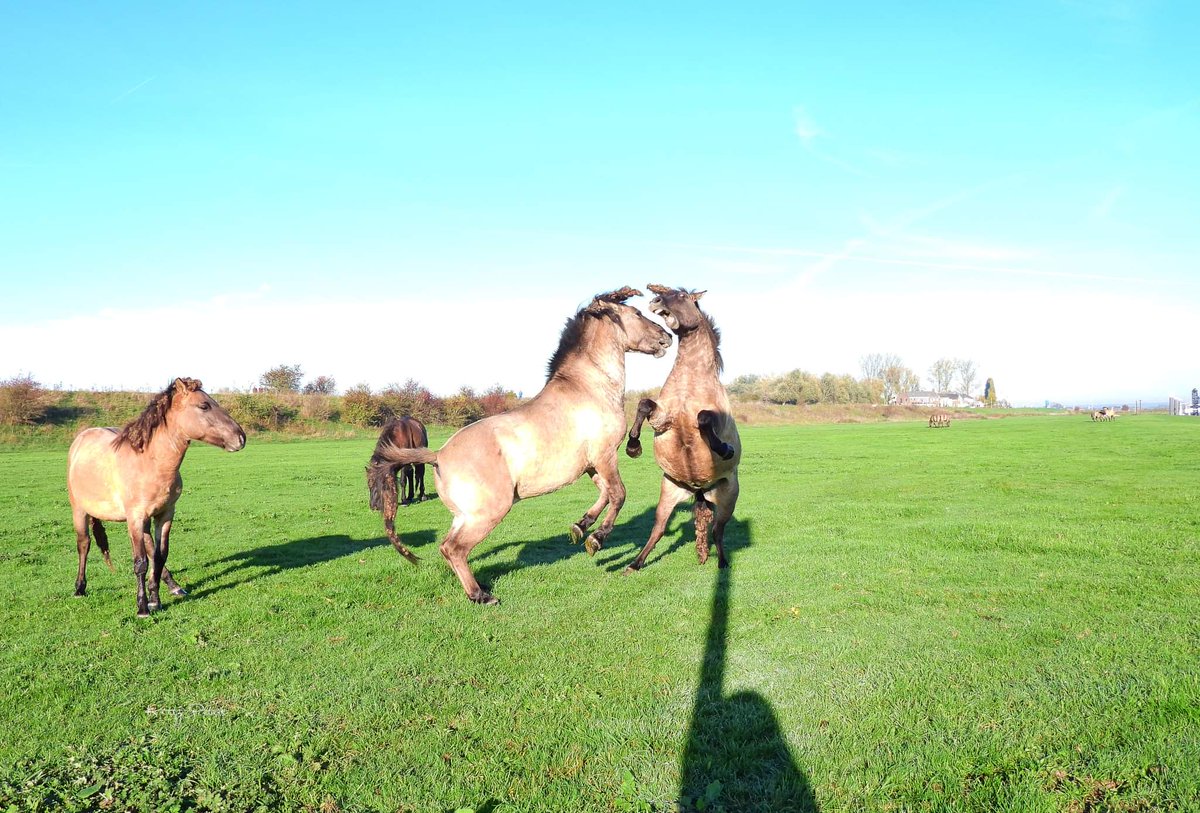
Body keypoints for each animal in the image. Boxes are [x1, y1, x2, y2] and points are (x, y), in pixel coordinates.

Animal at [67, 377, 246, 617]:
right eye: (204, 406)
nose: (241, 437)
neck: (150, 463)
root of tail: (81, 438)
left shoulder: (165, 514)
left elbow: (160, 556)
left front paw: (155, 600)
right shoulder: (135, 518)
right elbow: (140, 562)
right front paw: (143, 607)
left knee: (151, 548)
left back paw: (174, 586)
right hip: (80, 510)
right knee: (84, 544)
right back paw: (80, 588)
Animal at [366, 415, 429, 564]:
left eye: (379, 485)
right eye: (369, 485)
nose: (373, 506)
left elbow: (403, 480)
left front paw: (404, 500)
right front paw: (406, 498)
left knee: (420, 473)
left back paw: (421, 495)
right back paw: (412, 495)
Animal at [624, 285, 741, 572]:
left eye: (682, 297)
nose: (655, 301)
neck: (690, 382)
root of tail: (698, 489)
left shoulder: (716, 417)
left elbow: (703, 418)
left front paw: (724, 448)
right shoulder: (662, 418)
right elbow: (644, 404)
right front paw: (633, 447)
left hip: (727, 499)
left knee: (718, 531)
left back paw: (723, 562)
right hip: (668, 494)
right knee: (658, 529)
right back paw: (635, 564)